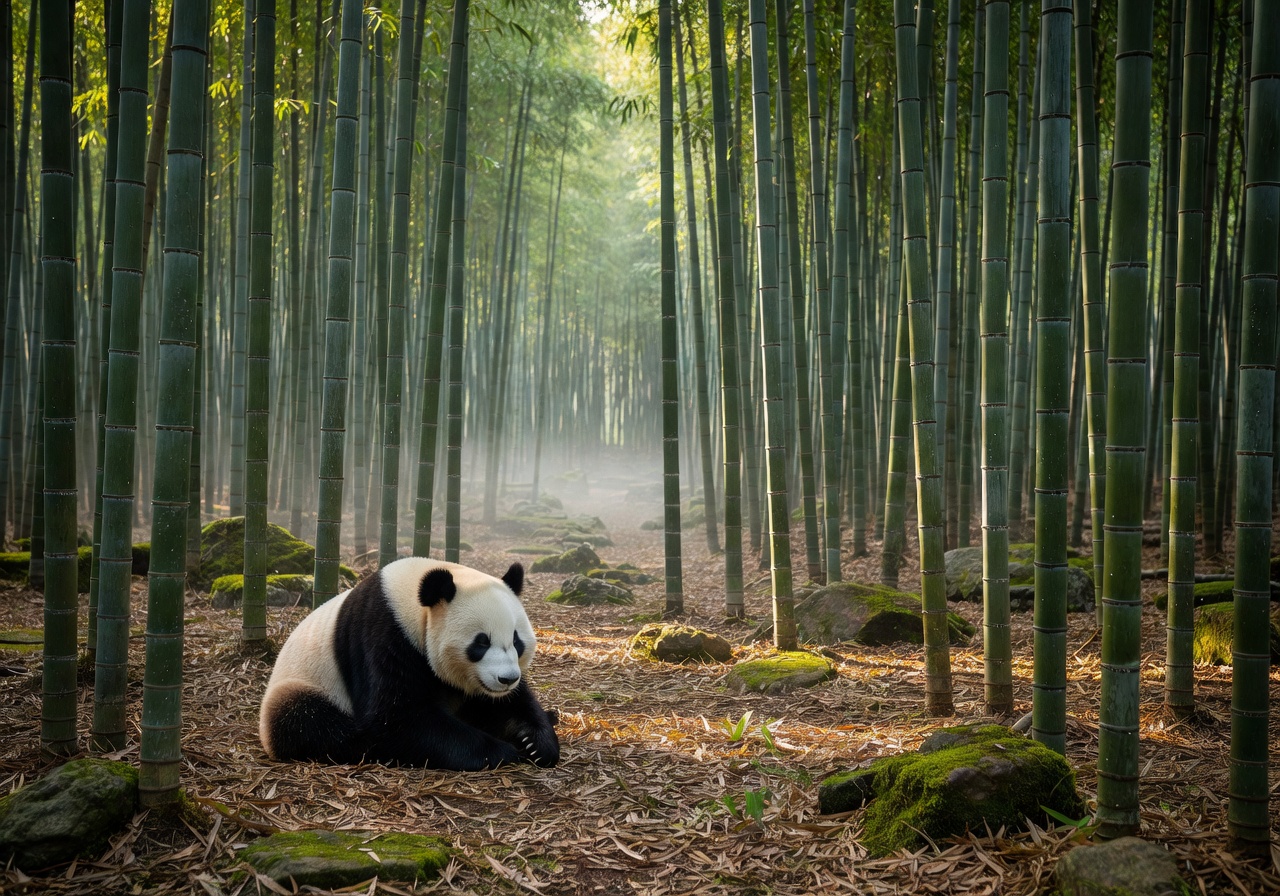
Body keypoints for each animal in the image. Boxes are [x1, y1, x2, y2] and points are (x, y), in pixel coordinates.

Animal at [259, 556, 560, 771]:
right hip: (304, 684)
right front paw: (502, 751)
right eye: (481, 642)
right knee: (307, 721)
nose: (507, 679)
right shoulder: (383, 634)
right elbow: (396, 718)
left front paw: (534, 742)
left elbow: (510, 701)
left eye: (516, 640)